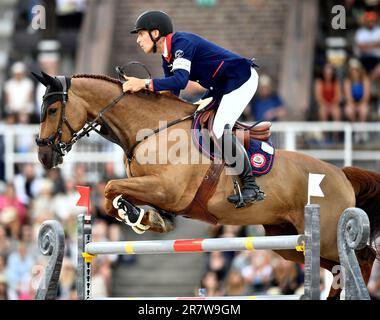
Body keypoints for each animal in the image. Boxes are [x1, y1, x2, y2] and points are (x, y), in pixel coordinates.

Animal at [34, 72, 378, 298]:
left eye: (52, 110)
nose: (44, 155)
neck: (151, 130)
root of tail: (341, 174)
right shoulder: (155, 189)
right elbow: (116, 195)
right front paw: (147, 218)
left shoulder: (168, 189)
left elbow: (109, 188)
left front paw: (134, 214)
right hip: (289, 242)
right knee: (335, 267)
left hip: (327, 234)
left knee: (362, 257)